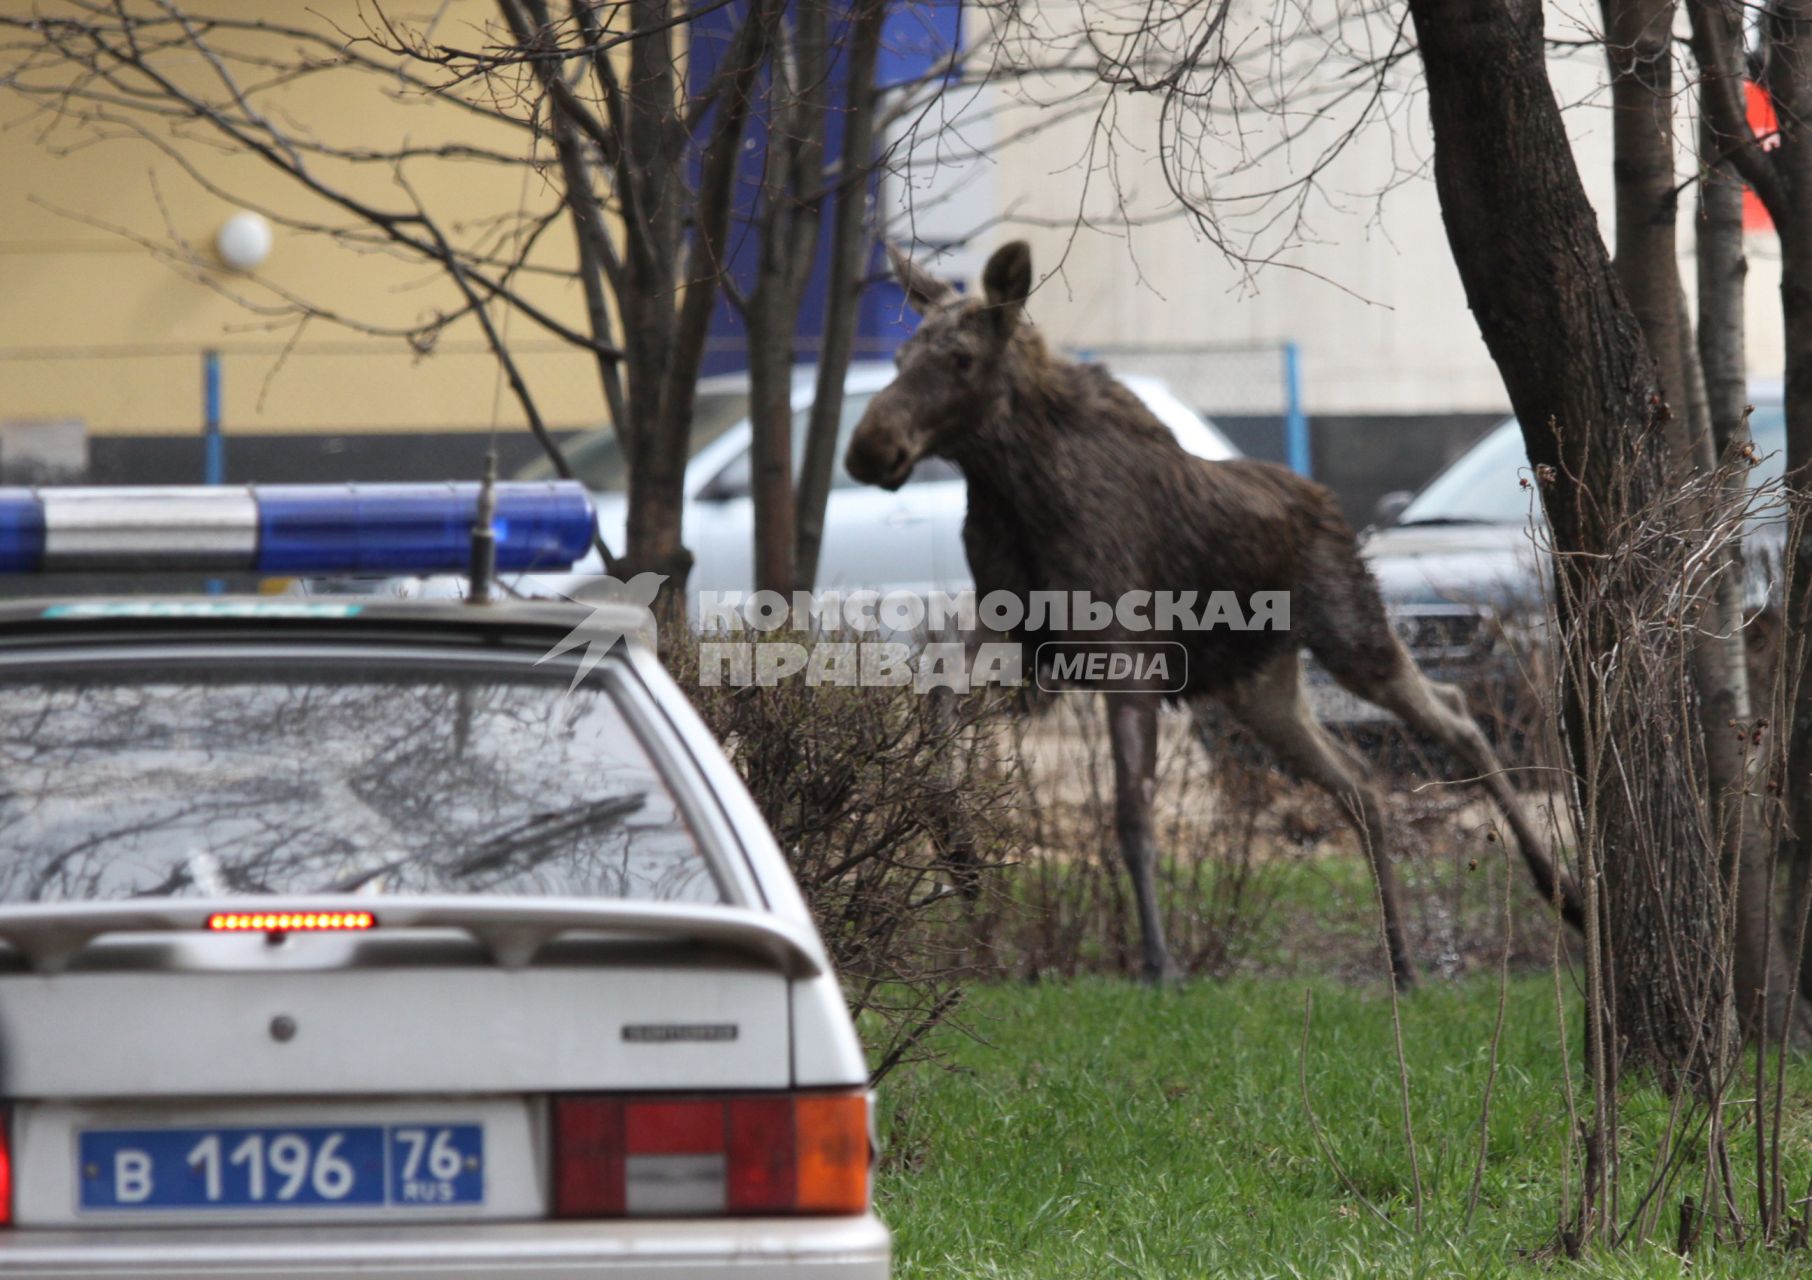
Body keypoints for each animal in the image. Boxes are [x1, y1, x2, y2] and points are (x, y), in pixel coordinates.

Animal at [840, 233, 1580, 979]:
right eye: (898, 360)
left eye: (961, 357)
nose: (869, 449)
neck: (1011, 492)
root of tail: (1331, 502)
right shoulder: (1023, 636)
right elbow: (937, 687)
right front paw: (959, 854)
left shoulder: (1121, 655)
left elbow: (1130, 811)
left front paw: (1159, 964)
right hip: (1258, 691)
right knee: (1360, 783)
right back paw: (1402, 964)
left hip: (1350, 633)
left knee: (1455, 719)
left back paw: (1562, 893)